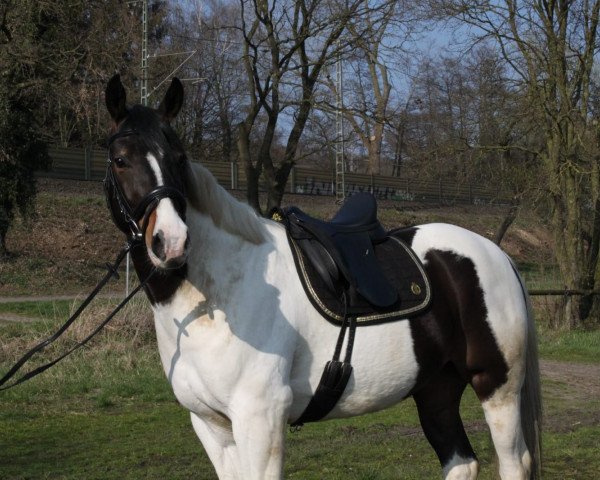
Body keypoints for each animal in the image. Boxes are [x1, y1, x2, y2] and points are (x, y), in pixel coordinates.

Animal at [104, 76, 544, 480]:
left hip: (497, 386)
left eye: (178, 158)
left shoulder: (259, 420)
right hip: (436, 389)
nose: (172, 242)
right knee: (461, 463)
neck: (215, 298)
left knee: (513, 462)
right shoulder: (212, 426)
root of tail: (495, 253)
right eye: (120, 160)